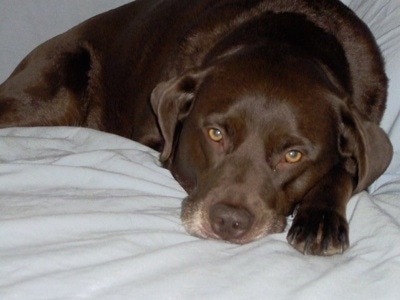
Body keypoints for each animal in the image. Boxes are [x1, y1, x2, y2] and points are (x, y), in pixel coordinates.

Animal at [0, 0, 394, 255]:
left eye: (293, 155)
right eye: (216, 134)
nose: (229, 222)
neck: (291, 34)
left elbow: (346, 168)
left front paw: (320, 218)